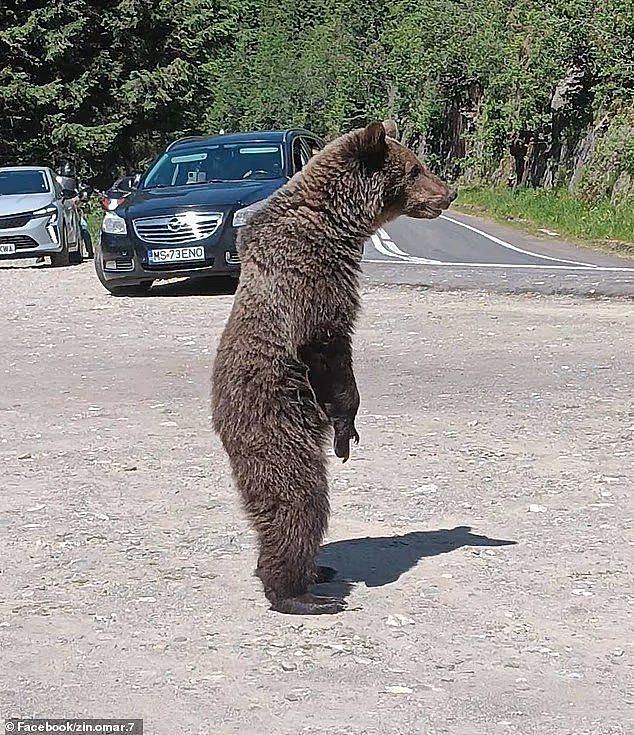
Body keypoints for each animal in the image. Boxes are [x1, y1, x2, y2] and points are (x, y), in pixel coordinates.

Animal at [211, 120, 455, 615]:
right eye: (415, 168)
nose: (449, 192)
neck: (338, 225)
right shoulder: (312, 277)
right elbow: (328, 351)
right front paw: (347, 428)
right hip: (276, 423)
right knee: (297, 499)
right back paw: (300, 594)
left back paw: (317, 570)